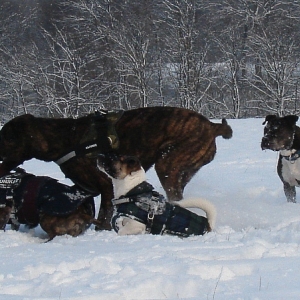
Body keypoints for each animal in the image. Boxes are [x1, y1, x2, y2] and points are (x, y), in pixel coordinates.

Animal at [0, 106, 233, 229]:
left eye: (6, 138)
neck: (65, 138)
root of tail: (213, 126)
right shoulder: (82, 189)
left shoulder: (106, 188)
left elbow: (103, 218)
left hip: (168, 165)